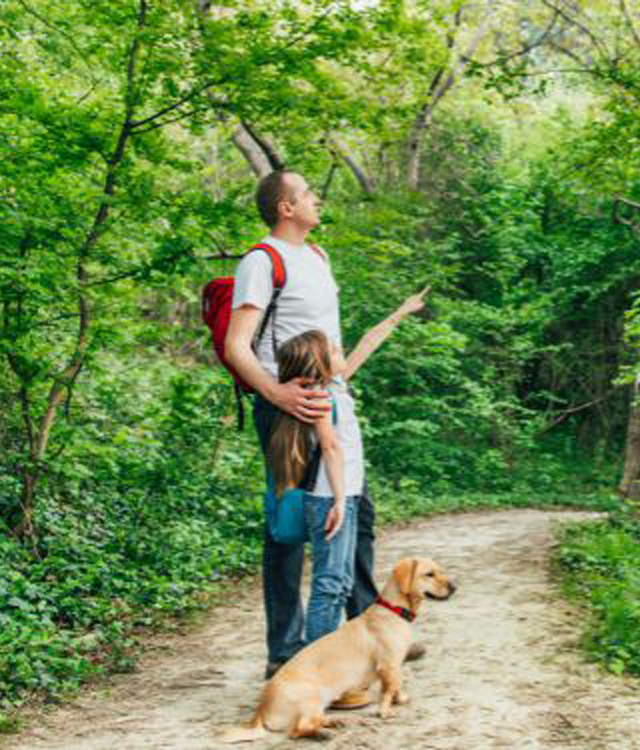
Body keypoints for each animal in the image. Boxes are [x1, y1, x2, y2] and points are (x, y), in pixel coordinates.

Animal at [220, 556, 456, 744]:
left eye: (440, 570)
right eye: (429, 574)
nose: (455, 587)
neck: (394, 610)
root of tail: (260, 711)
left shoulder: (392, 667)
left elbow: (393, 687)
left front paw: (399, 699)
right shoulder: (389, 665)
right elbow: (390, 689)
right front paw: (386, 709)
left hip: (318, 704)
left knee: (311, 722)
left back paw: (334, 722)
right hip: (311, 698)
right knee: (298, 730)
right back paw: (324, 733)